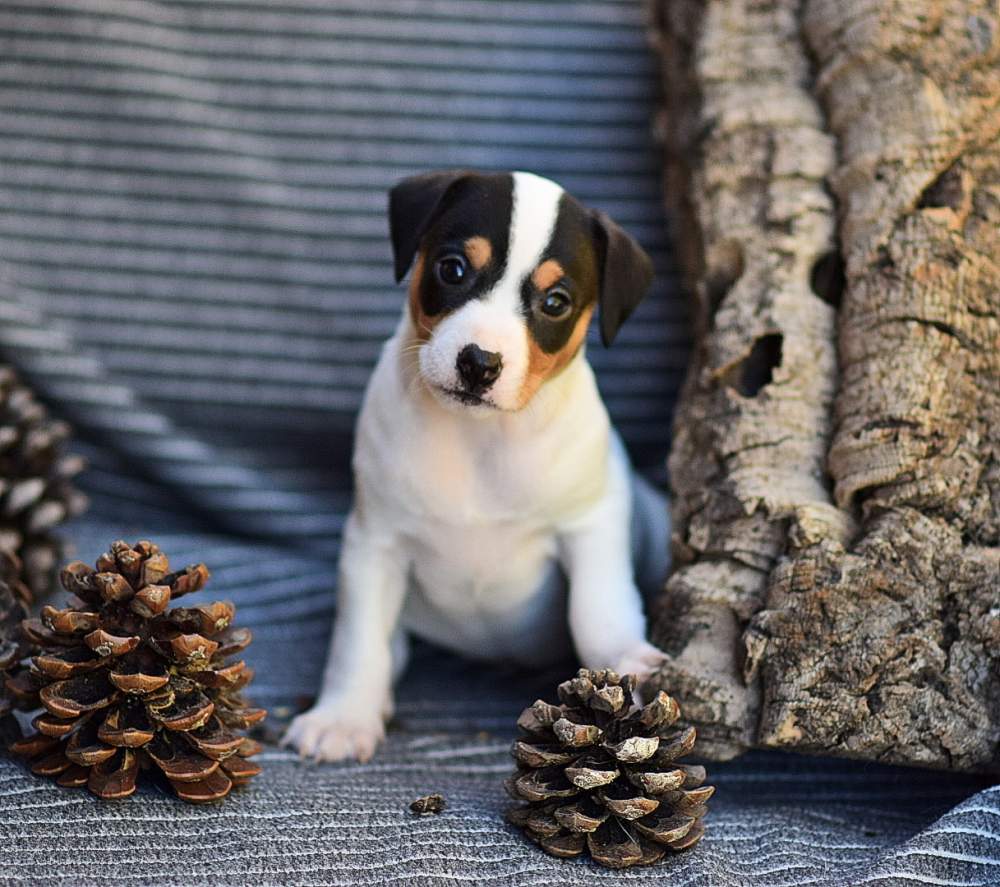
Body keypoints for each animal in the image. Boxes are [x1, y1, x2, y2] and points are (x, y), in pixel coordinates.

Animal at [284, 172, 672, 764]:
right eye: (452, 269)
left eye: (555, 301)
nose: (479, 363)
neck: (479, 439)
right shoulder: (375, 544)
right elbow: (360, 640)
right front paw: (344, 717)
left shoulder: (591, 526)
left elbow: (597, 607)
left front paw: (624, 661)